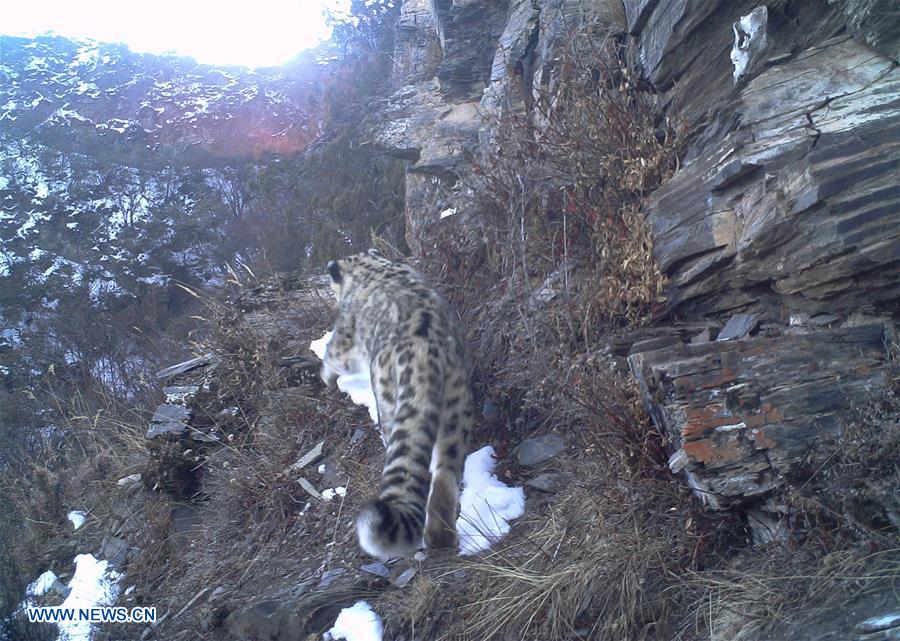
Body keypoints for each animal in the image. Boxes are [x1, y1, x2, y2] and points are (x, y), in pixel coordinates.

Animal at [321, 249, 474, 559]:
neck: (370, 266)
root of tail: (425, 357)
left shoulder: (344, 337)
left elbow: (333, 355)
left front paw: (325, 375)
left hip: (390, 402)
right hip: (456, 406)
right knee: (445, 472)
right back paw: (440, 538)